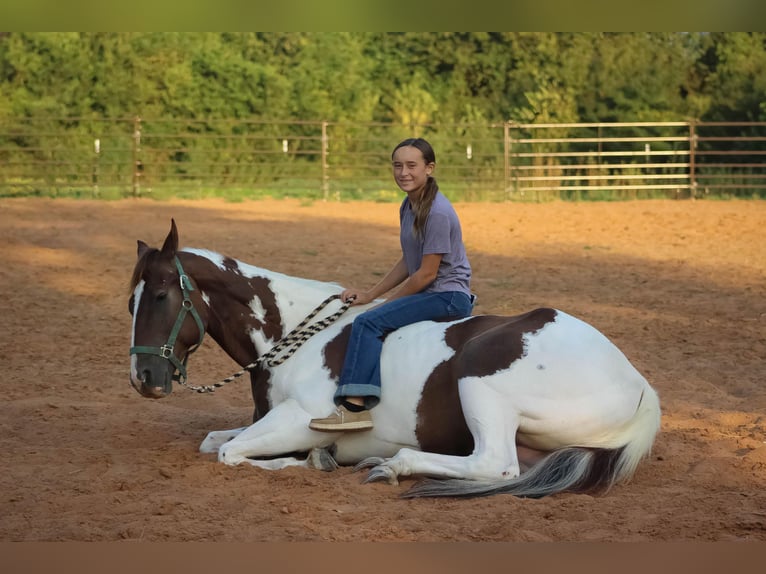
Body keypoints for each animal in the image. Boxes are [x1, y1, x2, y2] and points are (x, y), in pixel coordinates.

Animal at [129, 220, 664, 500]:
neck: (293, 335)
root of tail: (639, 385)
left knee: (497, 465)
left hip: (479, 374)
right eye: (130, 300)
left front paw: (315, 460)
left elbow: (231, 453)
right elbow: (212, 442)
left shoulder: (301, 420)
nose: (144, 378)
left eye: (160, 295)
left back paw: (392, 466)